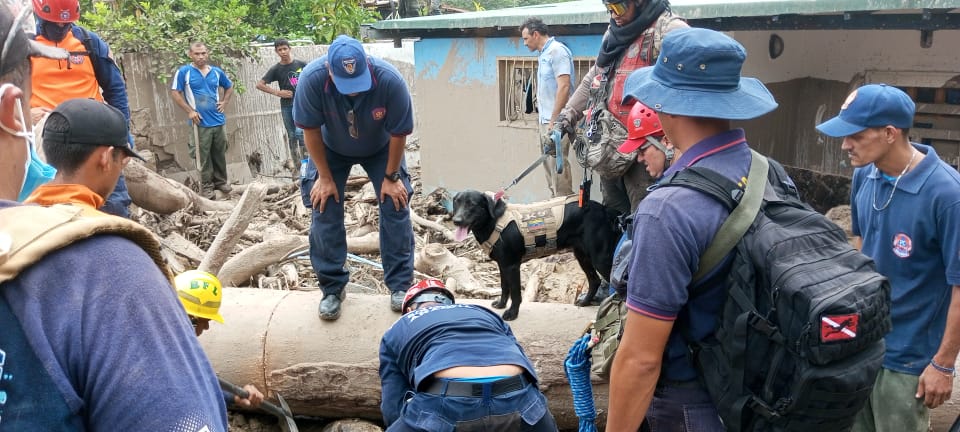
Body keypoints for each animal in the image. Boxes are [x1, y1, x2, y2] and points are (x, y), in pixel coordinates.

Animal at [452, 191, 620, 318]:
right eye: (456, 203)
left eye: (472, 204)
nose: (456, 220)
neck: (494, 222)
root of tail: (604, 209)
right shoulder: (502, 265)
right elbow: (504, 287)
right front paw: (500, 304)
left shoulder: (512, 266)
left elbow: (515, 293)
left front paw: (512, 313)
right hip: (582, 255)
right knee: (595, 280)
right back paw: (585, 302)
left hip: (600, 258)